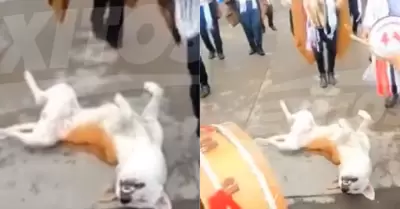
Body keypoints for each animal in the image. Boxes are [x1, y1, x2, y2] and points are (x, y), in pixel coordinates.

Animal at [0, 70, 170, 209]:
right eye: (141, 186)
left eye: (140, 201)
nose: (123, 198)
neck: (142, 150)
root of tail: (42, 122)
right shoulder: (151, 124)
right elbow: (150, 102)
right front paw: (149, 88)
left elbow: (126, 114)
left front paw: (121, 102)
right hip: (64, 93)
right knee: (40, 98)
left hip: (43, 137)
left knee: (29, 121)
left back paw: (5, 131)